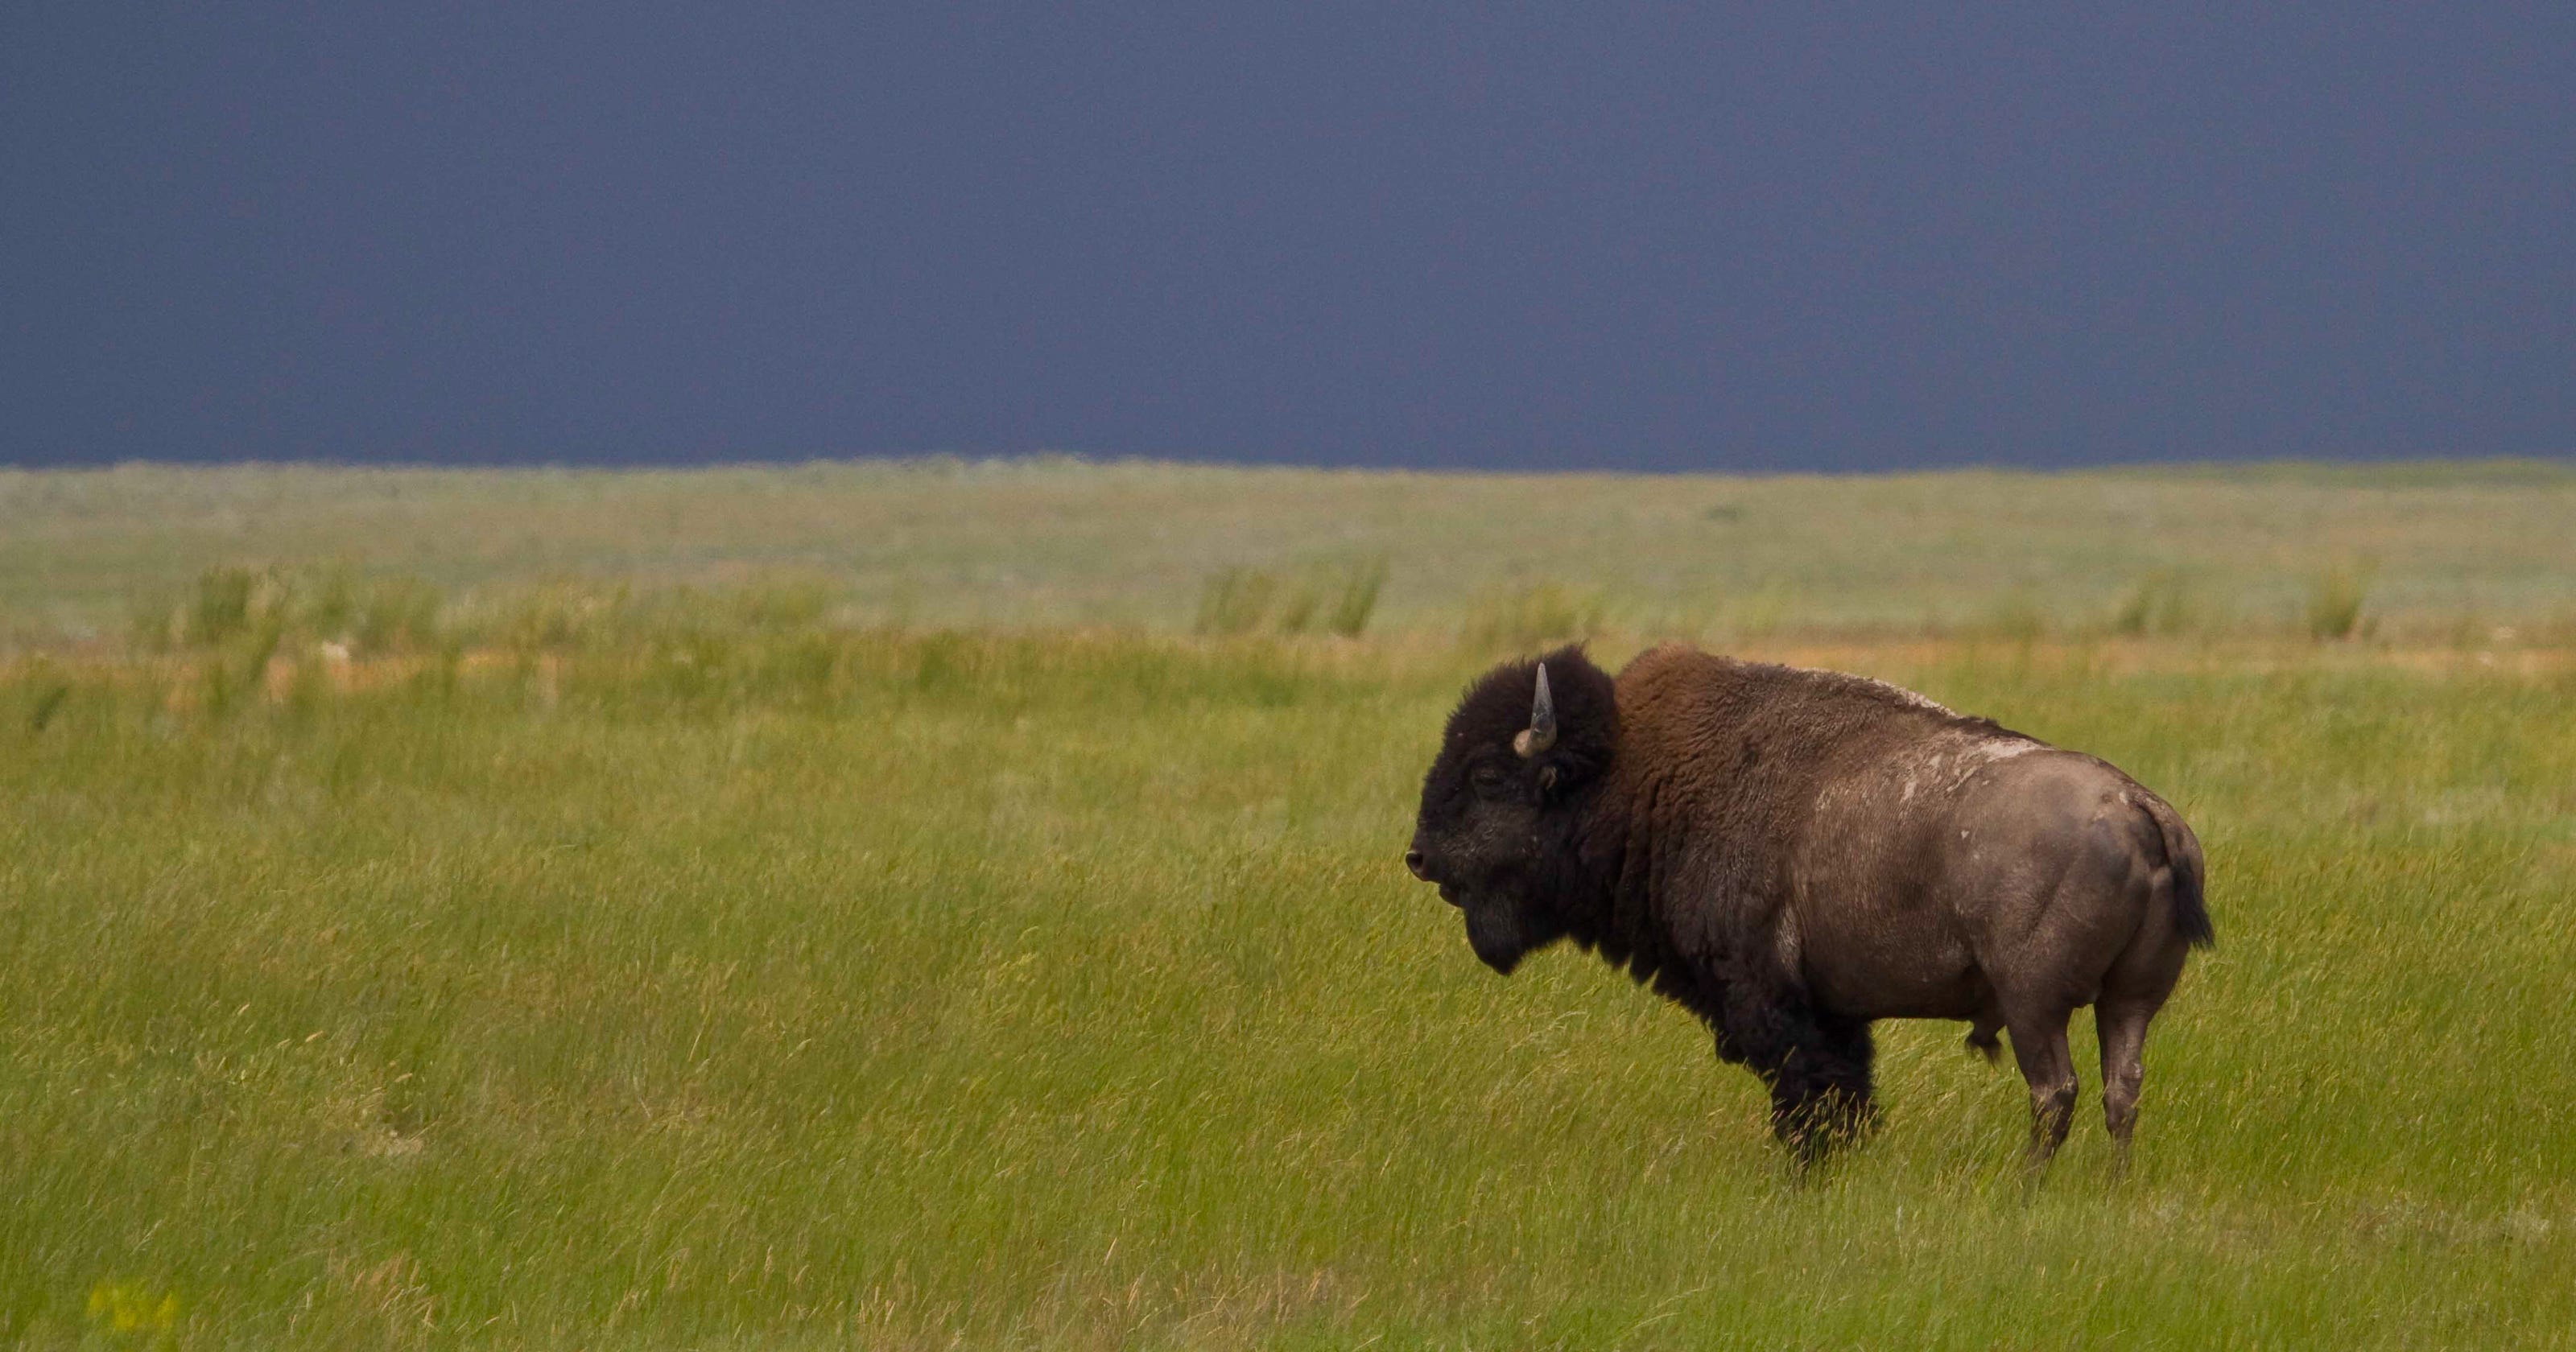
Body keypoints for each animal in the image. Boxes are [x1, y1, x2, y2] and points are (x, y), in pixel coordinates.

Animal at [1404, 644, 2212, 1166]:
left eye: (1486, 775)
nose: (1419, 856)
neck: (1632, 777)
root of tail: (2141, 809)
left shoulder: (1771, 998)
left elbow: (1808, 1095)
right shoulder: (1836, 1011)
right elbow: (1848, 1091)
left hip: (2031, 1003)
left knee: (2056, 1092)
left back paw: (2026, 1187)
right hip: (2128, 1002)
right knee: (2120, 1091)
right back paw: (2111, 1183)